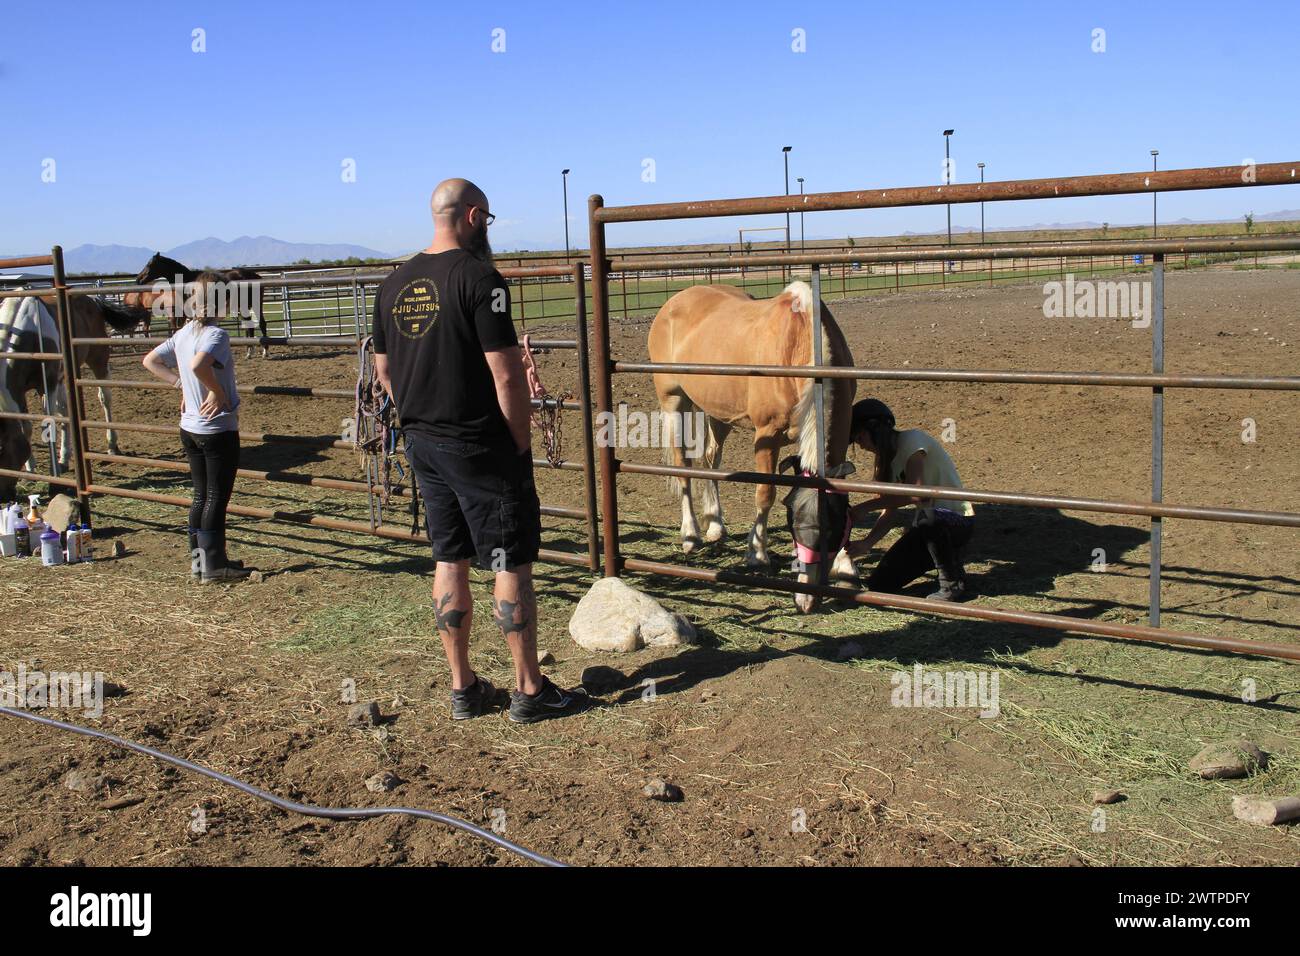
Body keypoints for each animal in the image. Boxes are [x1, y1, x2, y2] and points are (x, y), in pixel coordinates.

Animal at [647, 282, 852, 613]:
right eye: (796, 526)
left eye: (832, 532)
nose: (806, 601)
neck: (799, 344)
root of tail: (675, 301)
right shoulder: (766, 435)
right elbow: (764, 494)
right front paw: (756, 554)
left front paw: (845, 564)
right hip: (674, 401)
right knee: (683, 466)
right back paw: (691, 534)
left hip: (719, 413)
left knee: (711, 459)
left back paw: (715, 526)